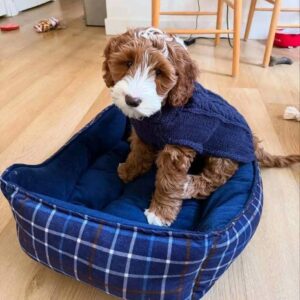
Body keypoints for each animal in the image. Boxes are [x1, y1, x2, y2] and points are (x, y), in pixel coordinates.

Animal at [102, 28, 300, 226]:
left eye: (159, 72)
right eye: (128, 63)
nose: (132, 100)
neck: (161, 111)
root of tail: (253, 141)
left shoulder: (178, 149)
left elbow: (169, 180)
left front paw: (160, 213)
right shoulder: (143, 134)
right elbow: (138, 153)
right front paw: (129, 170)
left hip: (222, 154)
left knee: (212, 180)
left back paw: (187, 186)